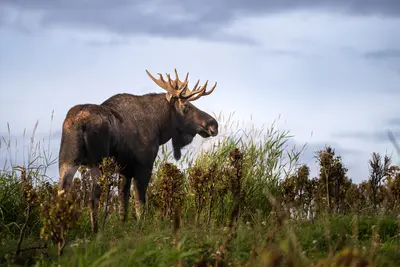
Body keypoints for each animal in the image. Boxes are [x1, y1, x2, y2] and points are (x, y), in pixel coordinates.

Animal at [57, 68, 219, 232]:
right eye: (186, 106)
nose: (213, 124)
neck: (160, 127)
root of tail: (80, 124)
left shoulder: (125, 169)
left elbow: (123, 202)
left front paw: (123, 225)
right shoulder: (144, 164)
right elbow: (140, 202)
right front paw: (141, 226)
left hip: (67, 160)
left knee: (62, 194)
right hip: (98, 163)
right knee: (93, 198)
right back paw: (95, 231)